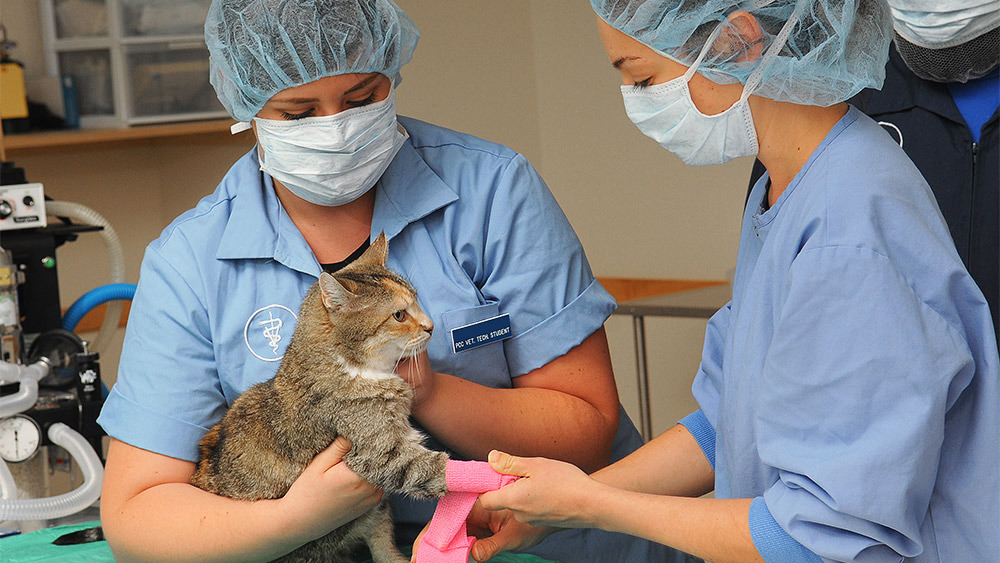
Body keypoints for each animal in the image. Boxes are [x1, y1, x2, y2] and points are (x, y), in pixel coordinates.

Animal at [189, 231, 448, 560]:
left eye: (417, 299)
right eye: (399, 315)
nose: (431, 327)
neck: (358, 368)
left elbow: (384, 540)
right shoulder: (378, 451)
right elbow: (430, 468)